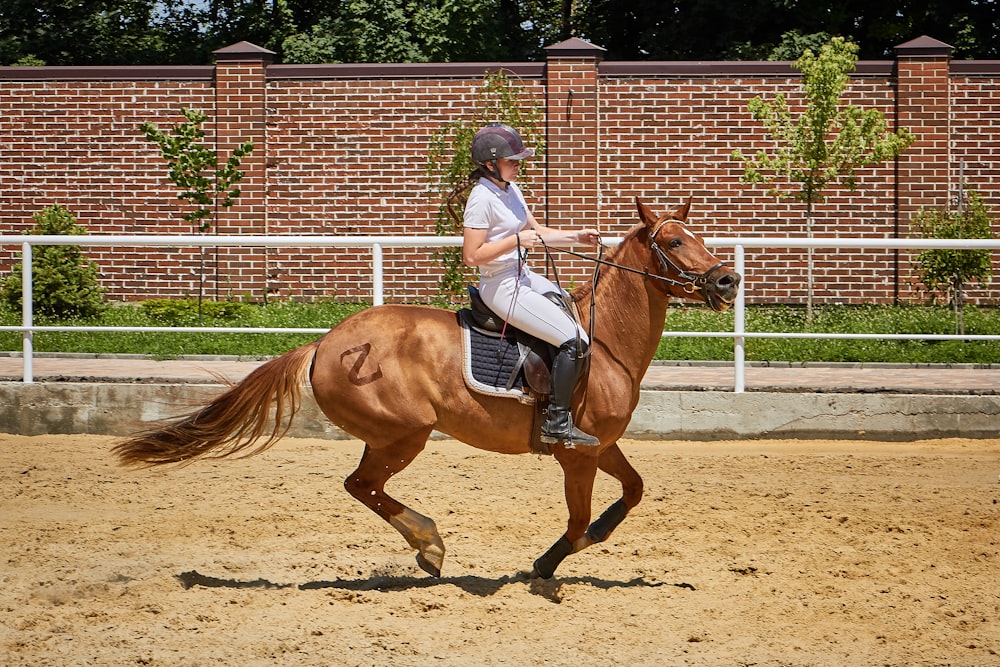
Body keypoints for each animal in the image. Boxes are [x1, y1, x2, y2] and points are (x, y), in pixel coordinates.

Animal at [117, 198, 744, 580]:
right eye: (674, 243)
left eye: (697, 236)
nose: (727, 279)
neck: (605, 341)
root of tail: (324, 343)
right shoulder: (576, 454)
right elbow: (574, 520)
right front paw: (548, 564)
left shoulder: (601, 446)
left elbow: (633, 491)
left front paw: (595, 534)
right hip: (404, 434)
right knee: (362, 485)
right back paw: (430, 543)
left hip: (394, 436)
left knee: (363, 486)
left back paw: (428, 546)